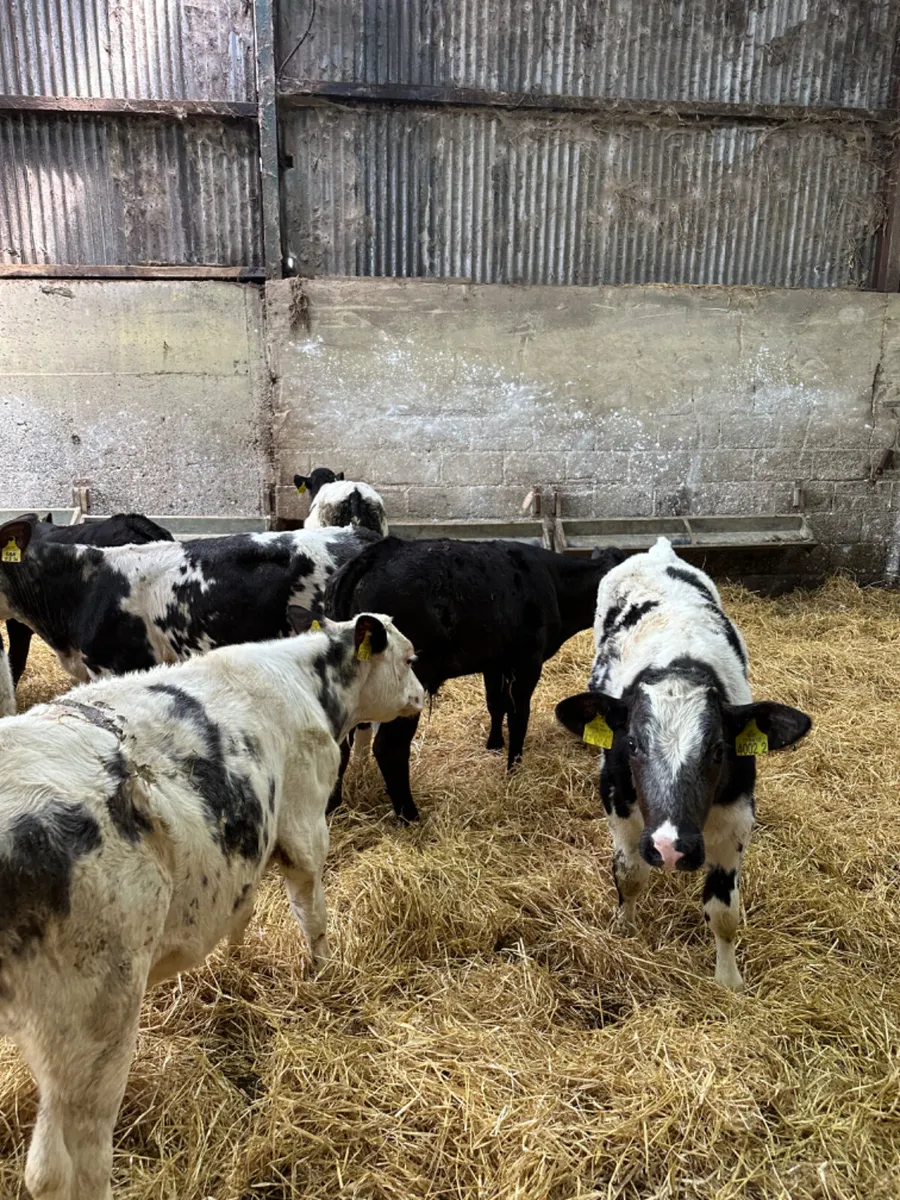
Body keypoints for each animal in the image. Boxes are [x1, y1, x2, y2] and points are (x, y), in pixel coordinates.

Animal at [0, 609, 423, 1200]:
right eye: (410, 658)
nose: (422, 695)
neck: (305, 679)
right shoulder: (304, 827)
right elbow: (312, 913)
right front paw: (324, 974)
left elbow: (242, 913)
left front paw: (235, 963)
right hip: (92, 1020)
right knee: (64, 1165)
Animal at [325, 536, 628, 822]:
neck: (553, 583)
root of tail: (373, 555)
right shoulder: (527, 662)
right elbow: (519, 715)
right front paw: (514, 767)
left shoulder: (495, 663)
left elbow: (495, 704)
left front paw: (494, 745)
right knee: (390, 747)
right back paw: (409, 815)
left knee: (340, 745)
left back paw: (332, 806)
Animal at [555, 537, 812, 989]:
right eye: (632, 745)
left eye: (718, 750)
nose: (670, 847)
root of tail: (658, 552)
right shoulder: (619, 806)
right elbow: (629, 875)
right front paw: (626, 931)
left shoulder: (736, 821)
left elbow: (724, 912)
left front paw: (728, 980)